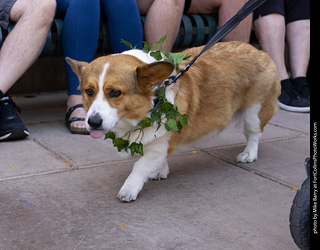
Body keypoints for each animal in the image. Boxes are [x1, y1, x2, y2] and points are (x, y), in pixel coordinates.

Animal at [67, 42, 280, 202]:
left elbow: (140, 166)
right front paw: (160, 171)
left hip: (254, 112)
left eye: (115, 93)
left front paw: (129, 189)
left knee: (254, 134)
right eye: (89, 91)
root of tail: (261, 52)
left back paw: (249, 154)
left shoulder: (160, 143)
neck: (154, 100)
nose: (93, 122)